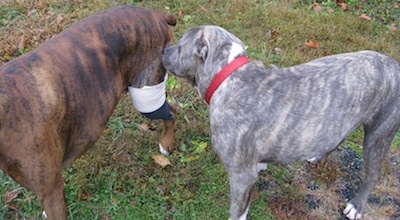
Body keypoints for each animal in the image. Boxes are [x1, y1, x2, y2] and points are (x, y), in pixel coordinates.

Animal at [162, 25, 400, 218]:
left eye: (180, 45)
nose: (164, 50)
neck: (228, 76)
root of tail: (393, 65)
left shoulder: (241, 177)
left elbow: (237, 212)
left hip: (378, 136)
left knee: (372, 174)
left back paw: (357, 206)